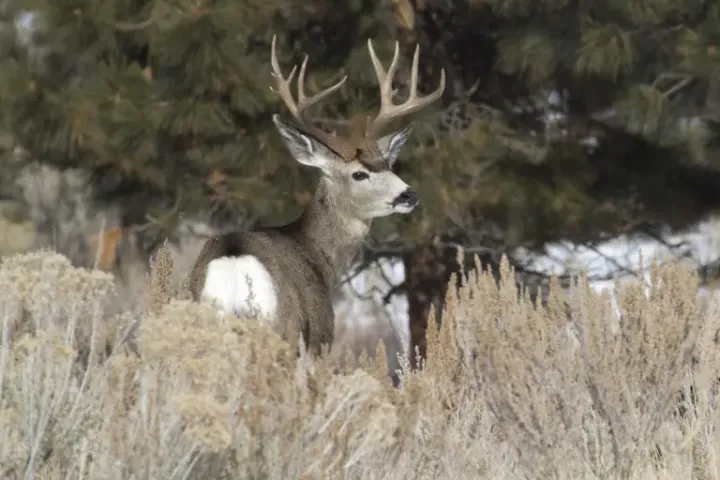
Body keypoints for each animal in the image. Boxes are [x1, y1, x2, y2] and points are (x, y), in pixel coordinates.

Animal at [188, 35, 445, 356]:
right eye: (359, 174)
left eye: (388, 165)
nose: (409, 195)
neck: (318, 255)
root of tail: (233, 268)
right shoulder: (320, 336)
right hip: (286, 330)